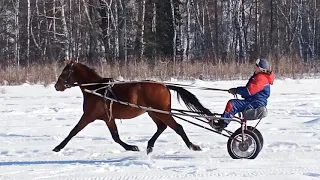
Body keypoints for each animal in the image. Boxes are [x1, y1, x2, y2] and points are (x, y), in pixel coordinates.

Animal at [52, 59, 214, 154]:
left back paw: (192, 146)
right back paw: (149, 146)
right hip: (153, 112)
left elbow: (73, 131)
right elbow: (115, 136)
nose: (56, 86)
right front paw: (132, 147)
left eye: (64, 72)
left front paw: (58, 147)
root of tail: (164, 86)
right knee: (161, 127)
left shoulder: (89, 116)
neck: (96, 89)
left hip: (162, 112)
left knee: (177, 127)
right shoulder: (108, 118)